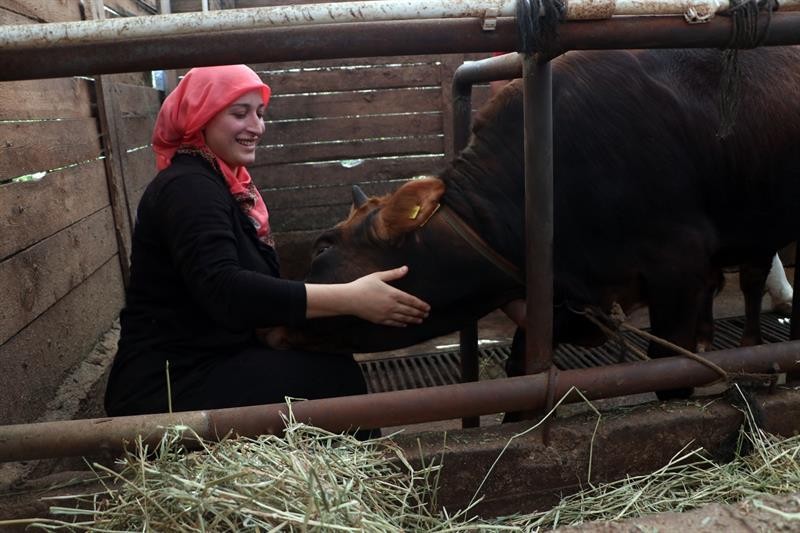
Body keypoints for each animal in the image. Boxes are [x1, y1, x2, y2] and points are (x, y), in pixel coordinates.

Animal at [268, 46, 800, 390]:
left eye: (322, 246)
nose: (268, 326)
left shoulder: (679, 269)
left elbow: (670, 371)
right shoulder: (573, 301)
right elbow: (522, 366)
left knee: (751, 277)